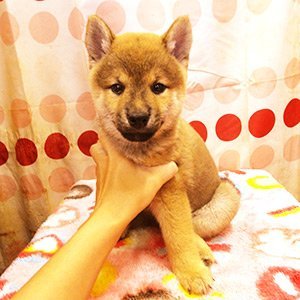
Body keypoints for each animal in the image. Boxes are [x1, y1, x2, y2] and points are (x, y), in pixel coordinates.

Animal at [84, 15, 239, 294]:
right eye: (117, 87)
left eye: (158, 87)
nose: (137, 117)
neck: (139, 152)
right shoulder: (104, 170)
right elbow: (103, 200)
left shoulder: (171, 192)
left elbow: (179, 236)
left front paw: (191, 271)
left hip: (221, 203)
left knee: (190, 229)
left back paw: (201, 249)